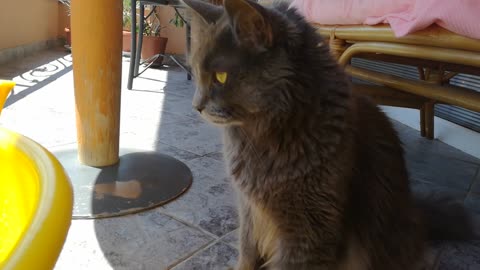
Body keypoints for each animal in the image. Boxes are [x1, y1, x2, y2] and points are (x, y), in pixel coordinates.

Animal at [182, 1, 474, 268]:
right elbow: (246, 254)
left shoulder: (309, 229)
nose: (196, 106)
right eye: (195, 73)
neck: (261, 137)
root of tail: (415, 211)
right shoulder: (250, 213)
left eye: (221, 77)